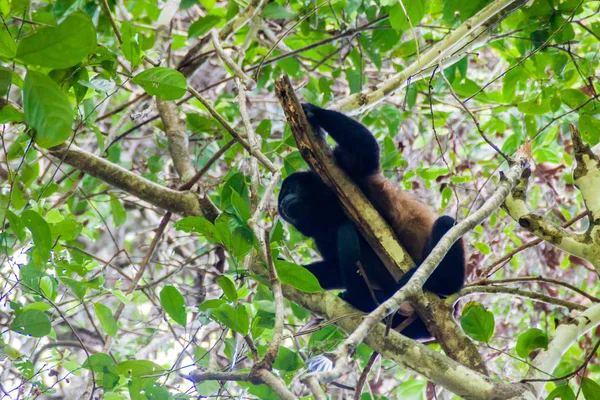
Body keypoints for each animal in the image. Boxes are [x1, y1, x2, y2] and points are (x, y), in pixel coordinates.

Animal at [278, 103, 466, 340]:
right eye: (281, 205)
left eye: (289, 189)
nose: (283, 204)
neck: (327, 209)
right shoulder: (322, 235)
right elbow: (333, 267)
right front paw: (278, 264)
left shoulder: (346, 171)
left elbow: (365, 149)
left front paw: (312, 111)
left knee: (445, 223)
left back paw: (442, 283)